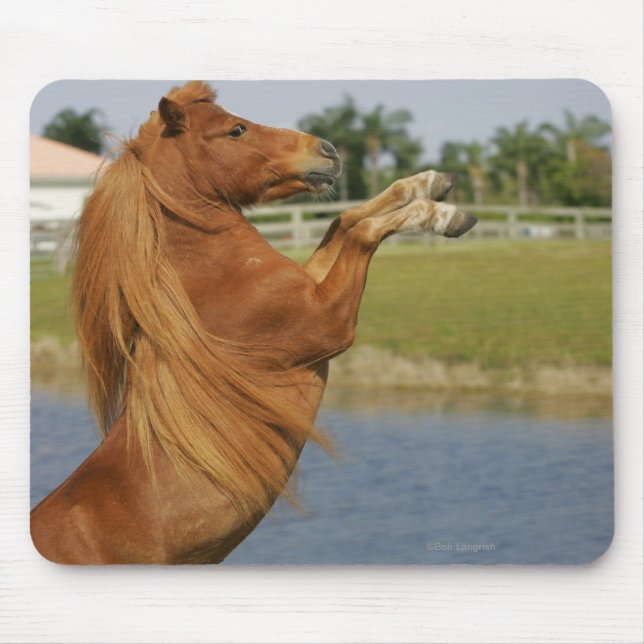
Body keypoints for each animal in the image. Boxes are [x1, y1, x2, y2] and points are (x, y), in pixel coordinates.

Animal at [30, 81, 476, 564]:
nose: (327, 150)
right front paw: (445, 215)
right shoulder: (330, 322)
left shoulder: (312, 285)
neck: (215, 278)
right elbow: (361, 230)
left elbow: (345, 218)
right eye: (236, 130)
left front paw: (432, 182)